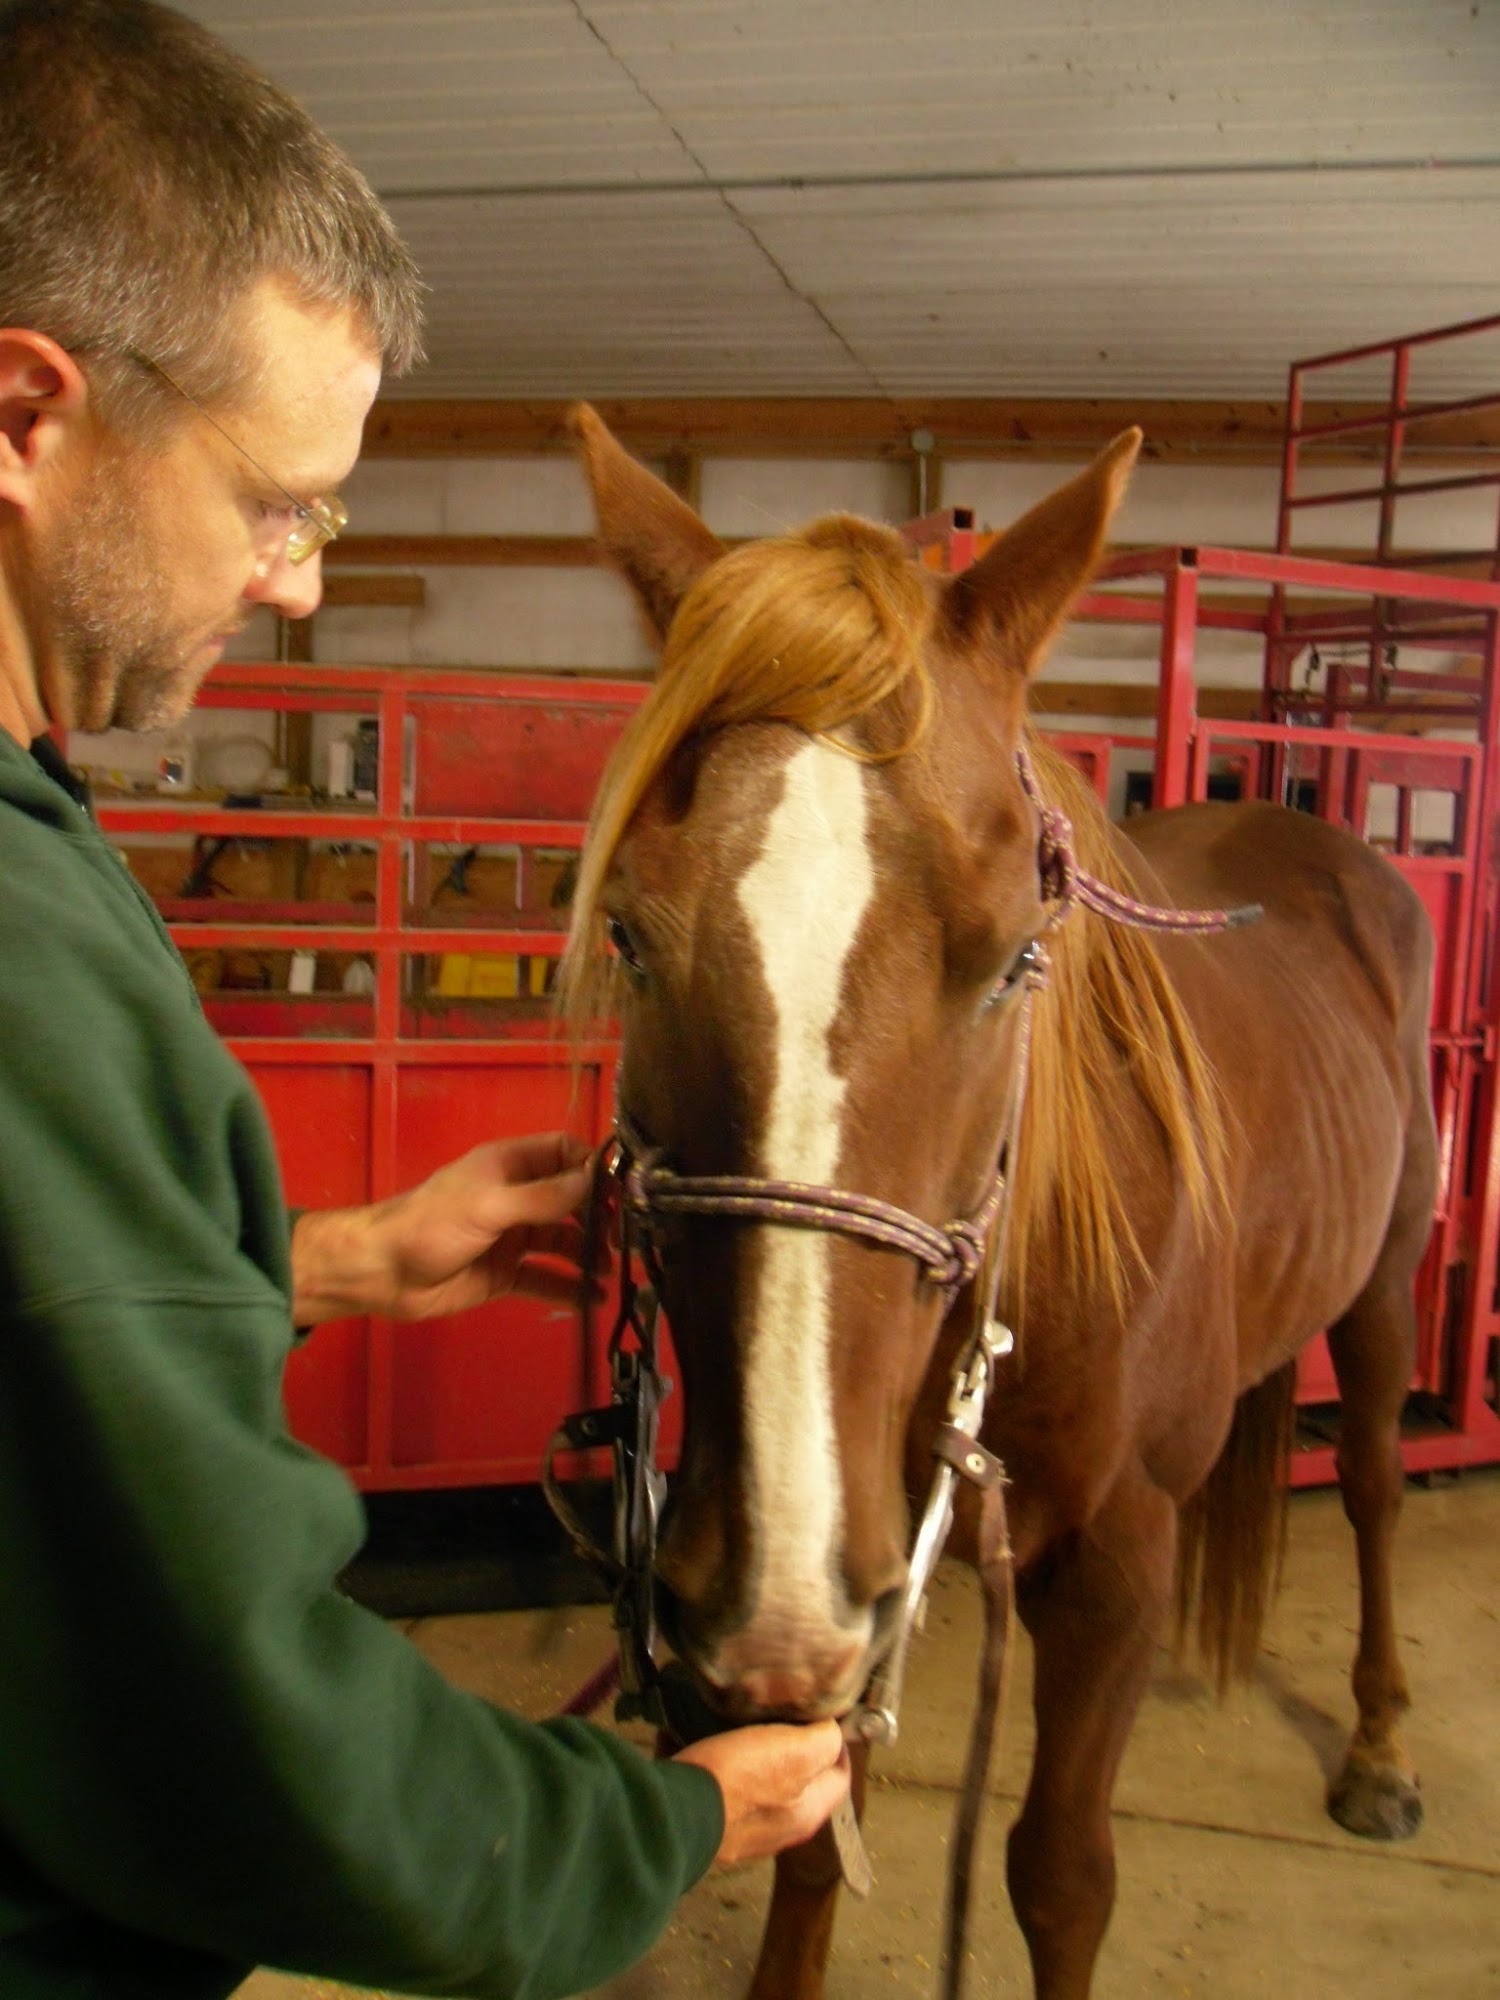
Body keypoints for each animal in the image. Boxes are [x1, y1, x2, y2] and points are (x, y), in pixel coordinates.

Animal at [560, 410, 1432, 2000]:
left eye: (1018, 953)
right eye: (634, 937)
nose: (770, 1581)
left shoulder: (1113, 1558)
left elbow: (1060, 1874)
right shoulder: (838, 1609)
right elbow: (805, 1860)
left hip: (1393, 1285)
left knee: (1379, 1479)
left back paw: (1382, 1745)